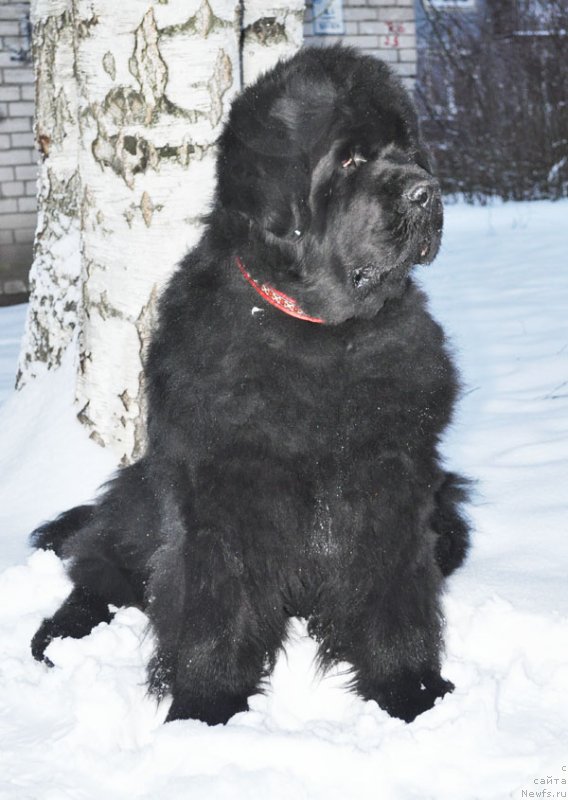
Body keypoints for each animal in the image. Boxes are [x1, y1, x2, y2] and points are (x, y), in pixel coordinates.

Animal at [28, 47, 468, 728]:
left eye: (408, 149)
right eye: (350, 159)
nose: (427, 192)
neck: (320, 338)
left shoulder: (391, 481)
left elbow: (392, 589)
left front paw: (411, 690)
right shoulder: (225, 487)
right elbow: (218, 600)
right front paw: (204, 708)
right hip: (144, 501)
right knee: (100, 571)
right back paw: (60, 635)